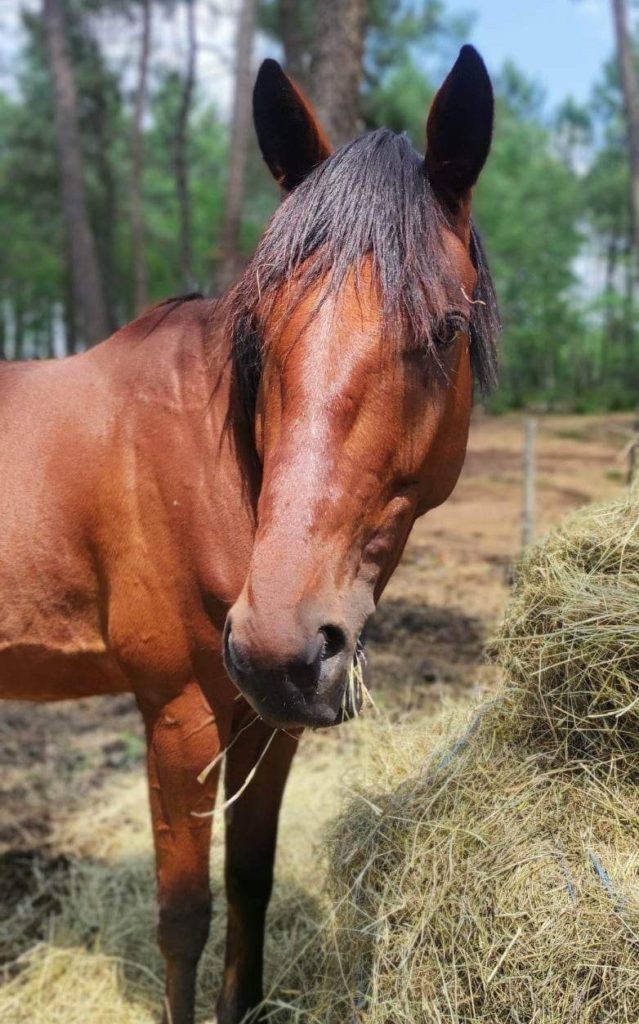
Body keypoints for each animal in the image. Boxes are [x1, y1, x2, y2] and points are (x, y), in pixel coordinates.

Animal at [0, 46, 499, 1024]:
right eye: (258, 335)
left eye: (447, 329)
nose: (279, 642)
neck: (212, 474)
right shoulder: (179, 715)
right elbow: (183, 916)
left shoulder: (266, 723)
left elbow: (249, 884)